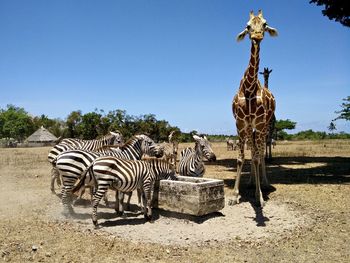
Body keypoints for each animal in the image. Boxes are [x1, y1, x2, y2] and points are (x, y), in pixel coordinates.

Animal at [228, 10, 278, 208]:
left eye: (264, 23)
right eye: (248, 26)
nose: (257, 36)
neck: (249, 88)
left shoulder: (260, 122)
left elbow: (257, 156)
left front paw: (259, 197)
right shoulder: (241, 123)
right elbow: (241, 157)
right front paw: (234, 195)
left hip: (264, 126)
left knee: (260, 153)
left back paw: (264, 183)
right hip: (251, 128)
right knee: (254, 151)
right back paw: (250, 183)